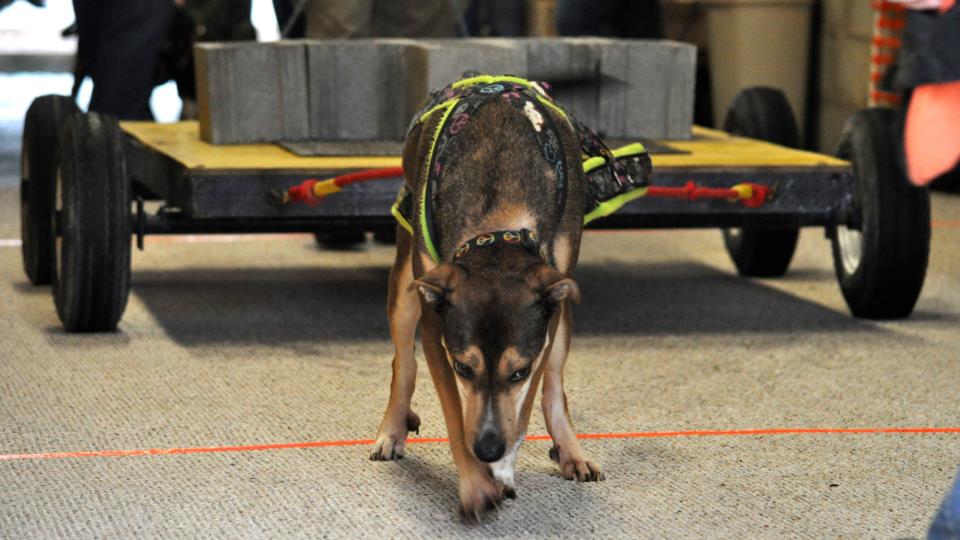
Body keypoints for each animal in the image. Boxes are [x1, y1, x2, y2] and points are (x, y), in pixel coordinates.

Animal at [372, 74, 648, 516]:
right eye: (463, 369)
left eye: (518, 372)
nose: (488, 449)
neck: (498, 220)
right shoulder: (436, 321)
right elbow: (454, 411)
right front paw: (475, 482)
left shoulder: (544, 324)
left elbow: (528, 401)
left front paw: (502, 468)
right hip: (404, 285)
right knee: (403, 360)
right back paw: (393, 428)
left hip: (562, 311)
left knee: (554, 384)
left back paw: (569, 450)